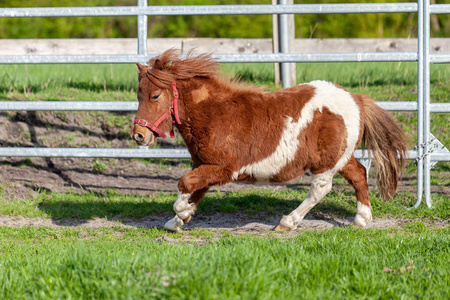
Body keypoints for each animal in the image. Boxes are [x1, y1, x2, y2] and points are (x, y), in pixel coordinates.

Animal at [130, 48, 408, 232]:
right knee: (359, 174)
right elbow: (195, 190)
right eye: (139, 94)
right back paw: (361, 219)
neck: (214, 114)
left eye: (155, 96)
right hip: (340, 157)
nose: (138, 134)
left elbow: (185, 184)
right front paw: (178, 220)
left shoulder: (224, 168)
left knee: (321, 189)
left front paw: (181, 213)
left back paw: (287, 222)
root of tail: (356, 99)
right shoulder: (205, 165)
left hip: (325, 164)